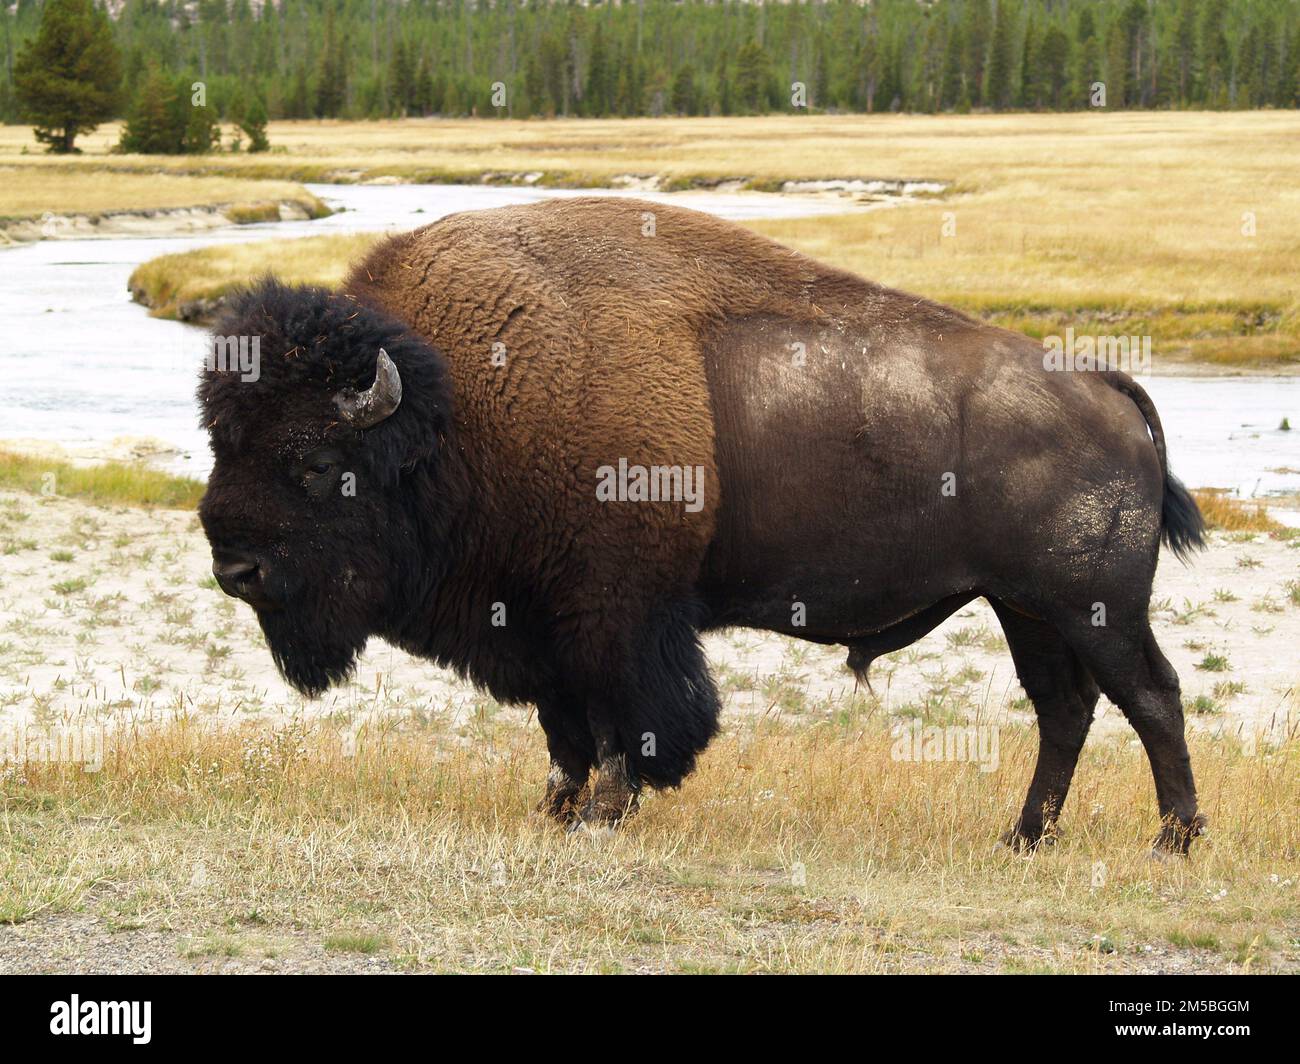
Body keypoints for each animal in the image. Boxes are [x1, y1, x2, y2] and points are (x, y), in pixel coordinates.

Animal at [200, 192, 1206, 853]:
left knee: (1148, 696)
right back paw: (1024, 837)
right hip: (1025, 608)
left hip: (1092, 608)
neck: (457, 408)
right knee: (1065, 708)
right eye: (220, 441)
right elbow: (564, 725)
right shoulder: (540, 621)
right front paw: (557, 808)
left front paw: (602, 813)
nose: (234, 569)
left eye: (315, 464)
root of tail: (1103, 381)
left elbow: (620, 718)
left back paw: (1173, 840)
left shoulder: (613, 613)